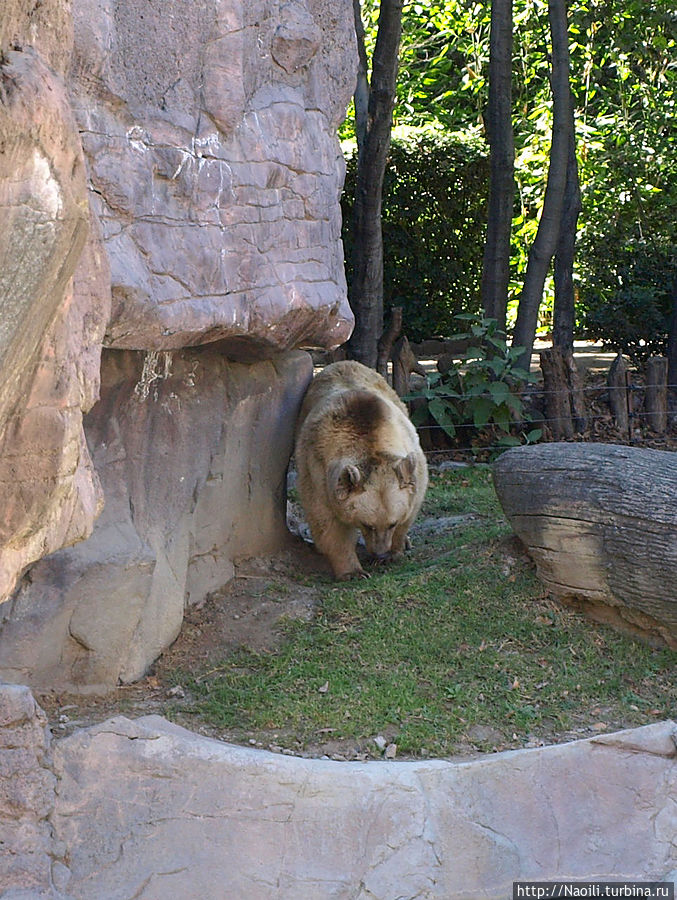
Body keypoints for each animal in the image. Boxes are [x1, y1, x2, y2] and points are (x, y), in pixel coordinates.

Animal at [292, 360, 428, 580]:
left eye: (392, 523)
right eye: (368, 524)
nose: (380, 553)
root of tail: (342, 362)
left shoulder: (413, 462)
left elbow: (411, 506)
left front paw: (396, 549)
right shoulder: (317, 471)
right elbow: (328, 523)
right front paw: (353, 571)